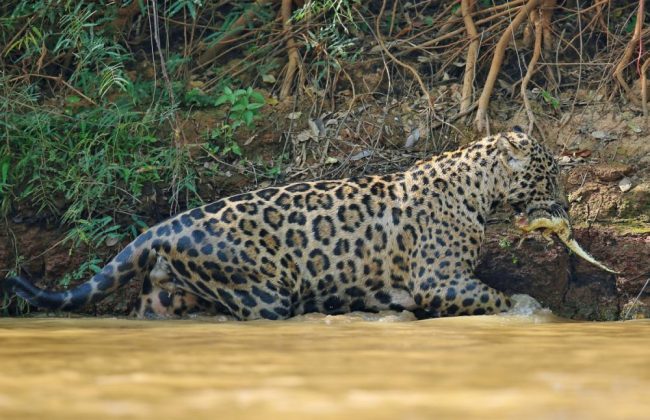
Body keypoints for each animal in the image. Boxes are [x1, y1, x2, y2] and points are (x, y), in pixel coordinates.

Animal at [5, 131, 570, 319]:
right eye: (548, 175)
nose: (565, 208)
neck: (479, 186)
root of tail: (164, 225)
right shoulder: (440, 280)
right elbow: (495, 296)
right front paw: (528, 308)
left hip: (163, 295)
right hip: (260, 289)